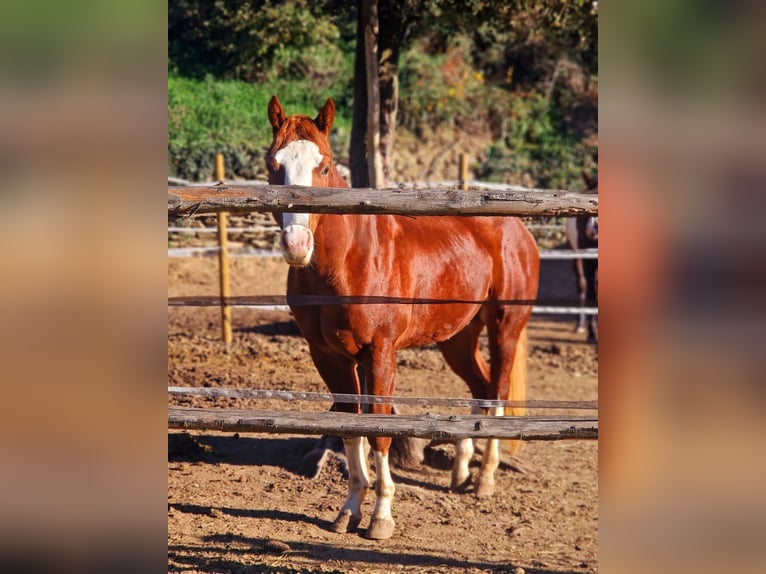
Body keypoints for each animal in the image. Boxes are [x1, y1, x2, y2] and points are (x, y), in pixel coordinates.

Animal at [268, 97, 544, 544]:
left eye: (323, 167)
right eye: (274, 165)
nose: (297, 245)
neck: (346, 262)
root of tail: (516, 227)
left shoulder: (380, 354)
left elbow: (379, 431)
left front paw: (381, 517)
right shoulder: (329, 358)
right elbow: (350, 428)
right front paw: (348, 510)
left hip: (505, 327)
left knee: (498, 391)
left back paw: (485, 479)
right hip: (457, 340)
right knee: (481, 386)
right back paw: (461, 471)